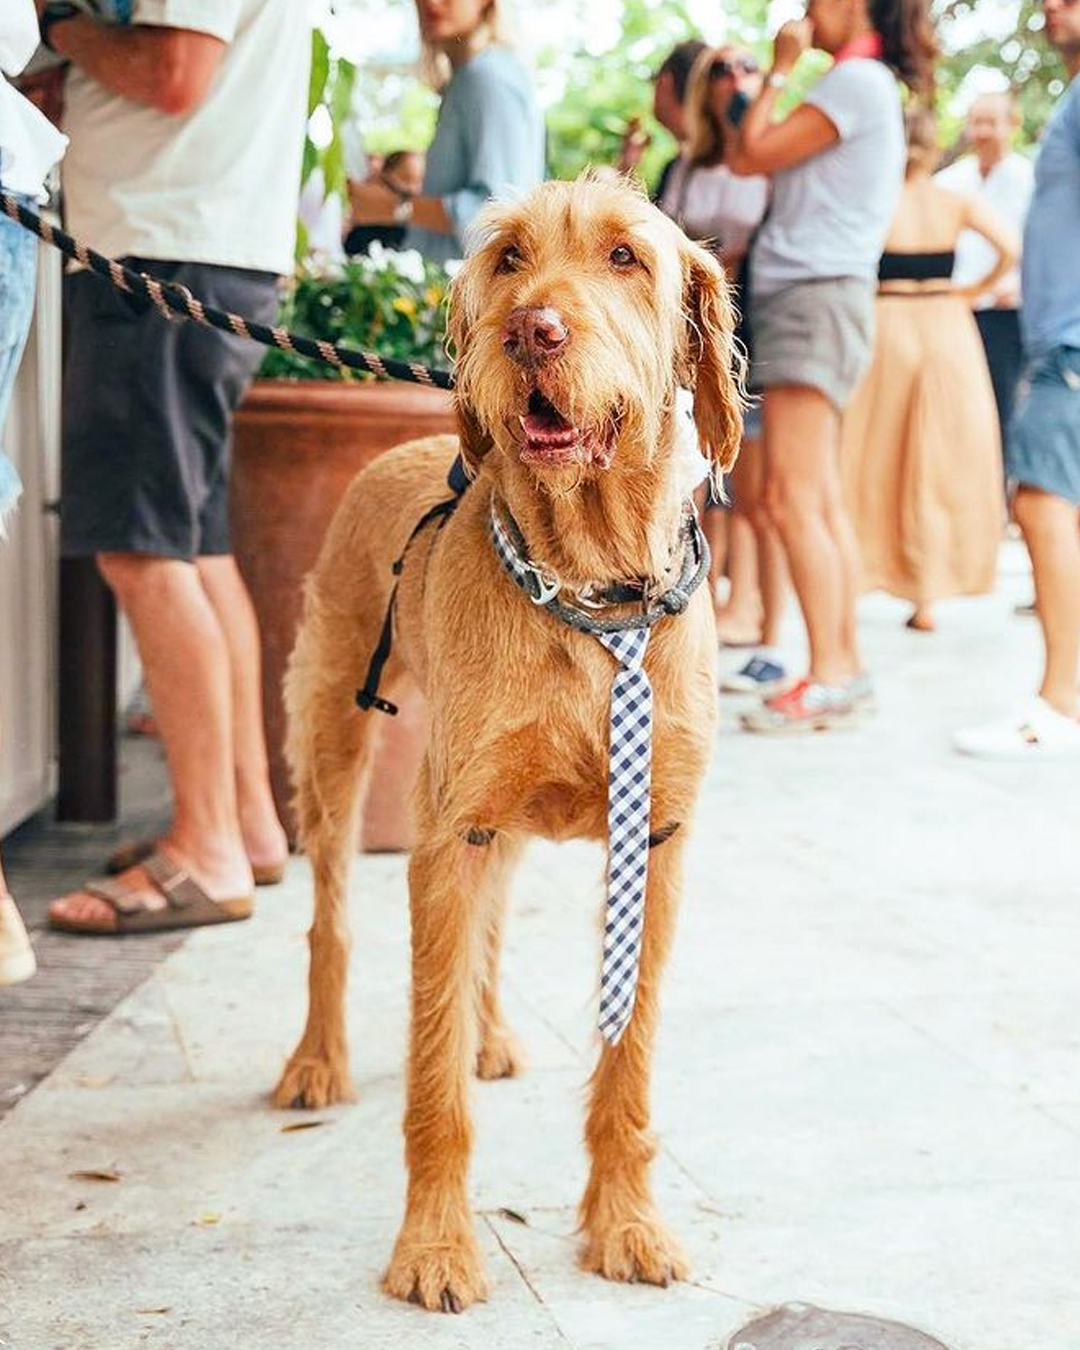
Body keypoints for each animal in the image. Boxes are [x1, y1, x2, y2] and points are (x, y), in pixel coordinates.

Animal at [274, 174, 745, 1312]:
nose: (529, 330)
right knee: (328, 917)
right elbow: (432, 1074)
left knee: (486, 929)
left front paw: (626, 1224)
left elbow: (628, 1058)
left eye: (625, 257)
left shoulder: (654, 845)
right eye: (507, 259)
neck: (592, 592)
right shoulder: (447, 835)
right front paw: (436, 1247)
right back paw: (318, 1060)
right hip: (335, 746)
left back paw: (489, 1035)